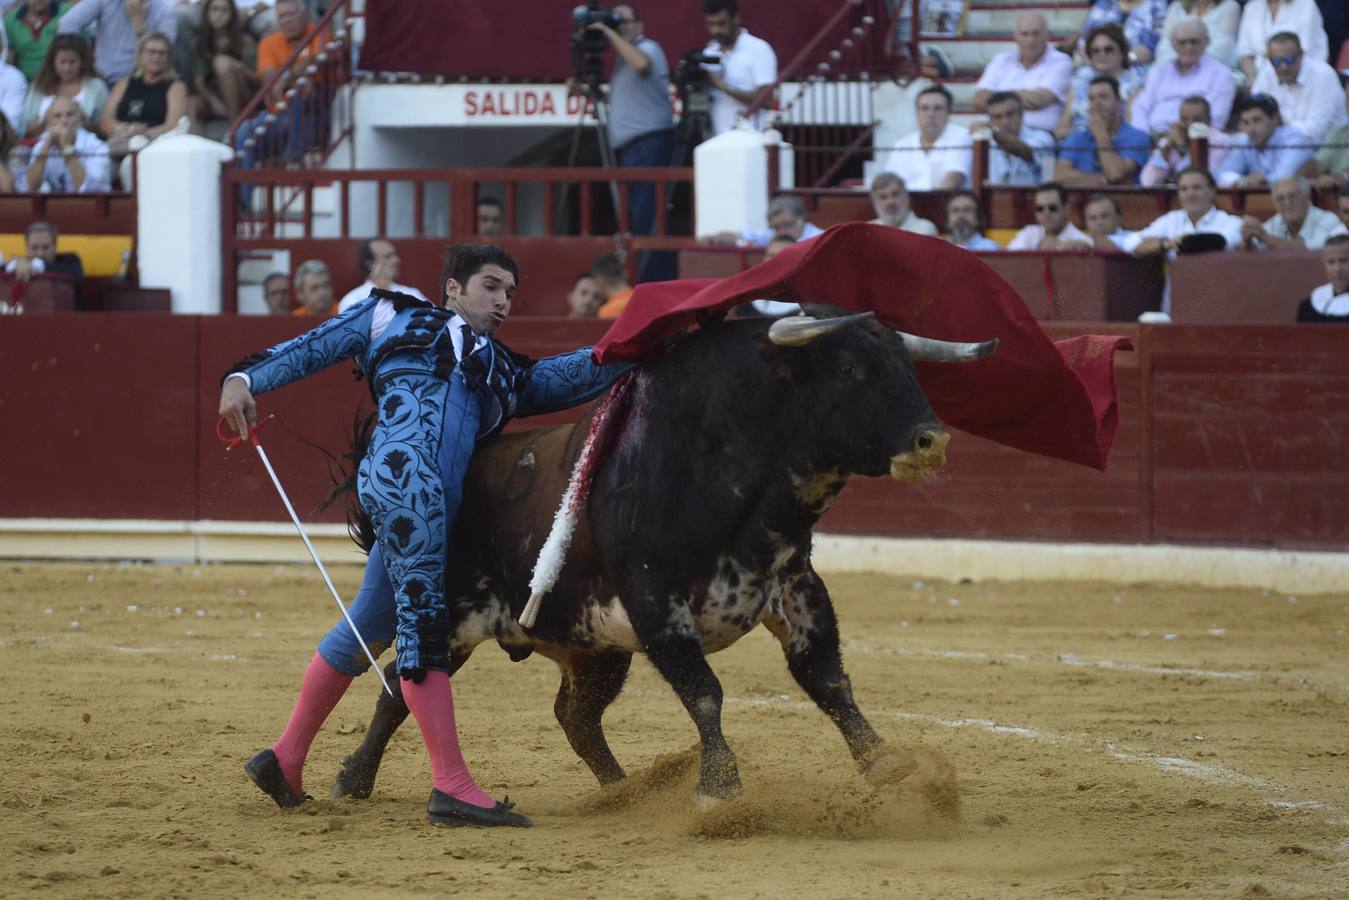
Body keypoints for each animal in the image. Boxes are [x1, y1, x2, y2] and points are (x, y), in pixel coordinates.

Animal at [331, 311, 998, 809]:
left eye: (908, 368)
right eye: (848, 369)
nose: (931, 441)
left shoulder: (797, 586)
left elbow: (826, 677)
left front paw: (884, 762)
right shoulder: (654, 599)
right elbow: (705, 692)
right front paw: (720, 789)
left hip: (594, 646)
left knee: (575, 715)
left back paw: (622, 794)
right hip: (449, 616)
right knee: (399, 689)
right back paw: (352, 780)